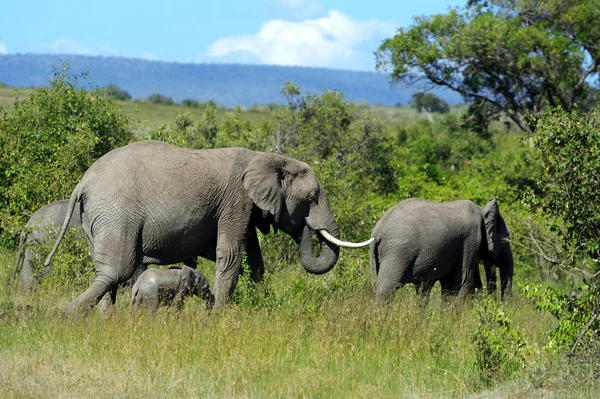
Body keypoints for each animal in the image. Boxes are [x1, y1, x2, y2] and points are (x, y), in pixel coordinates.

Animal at [44, 142, 370, 314]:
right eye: (312, 198)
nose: (306, 228)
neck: (266, 157)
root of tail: (83, 183)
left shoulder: (242, 209)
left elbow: (252, 258)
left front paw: (257, 304)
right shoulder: (237, 201)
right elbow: (230, 255)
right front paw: (217, 315)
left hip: (96, 219)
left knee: (107, 271)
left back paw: (104, 318)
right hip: (116, 214)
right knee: (116, 270)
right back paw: (69, 315)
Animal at [368, 198, 512, 302]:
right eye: (506, 237)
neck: (481, 210)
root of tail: (377, 231)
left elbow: (448, 285)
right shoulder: (470, 240)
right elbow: (464, 281)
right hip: (397, 252)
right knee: (387, 289)